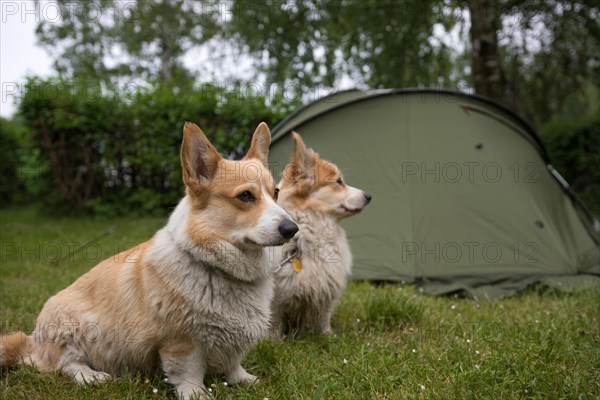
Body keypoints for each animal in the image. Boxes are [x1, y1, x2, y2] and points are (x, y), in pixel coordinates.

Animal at [0, 122, 298, 400]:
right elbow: (188, 373)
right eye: (245, 196)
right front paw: (197, 394)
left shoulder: (236, 340)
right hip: (73, 326)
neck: (217, 268)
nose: (292, 229)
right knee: (66, 364)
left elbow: (233, 363)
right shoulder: (181, 341)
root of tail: (33, 341)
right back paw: (92, 376)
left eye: (276, 193)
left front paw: (244, 379)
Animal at [270, 133, 370, 336]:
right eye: (338, 181)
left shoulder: (326, 289)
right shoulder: (276, 297)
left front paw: (327, 336)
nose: (369, 196)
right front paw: (274, 340)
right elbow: (275, 322)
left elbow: (323, 317)